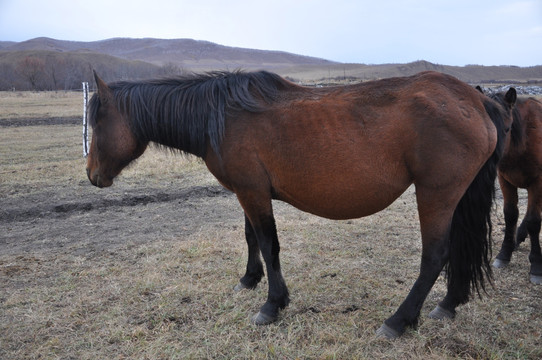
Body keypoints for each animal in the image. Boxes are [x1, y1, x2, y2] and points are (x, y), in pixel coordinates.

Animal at [86, 69, 520, 338]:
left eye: (98, 122)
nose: (92, 175)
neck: (223, 116)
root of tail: (477, 101)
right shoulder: (249, 192)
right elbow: (250, 238)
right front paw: (249, 279)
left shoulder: (253, 192)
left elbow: (268, 244)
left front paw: (272, 304)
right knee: (459, 250)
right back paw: (449, 303)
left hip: (435, 195)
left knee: (436, 256)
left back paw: (399, 321)